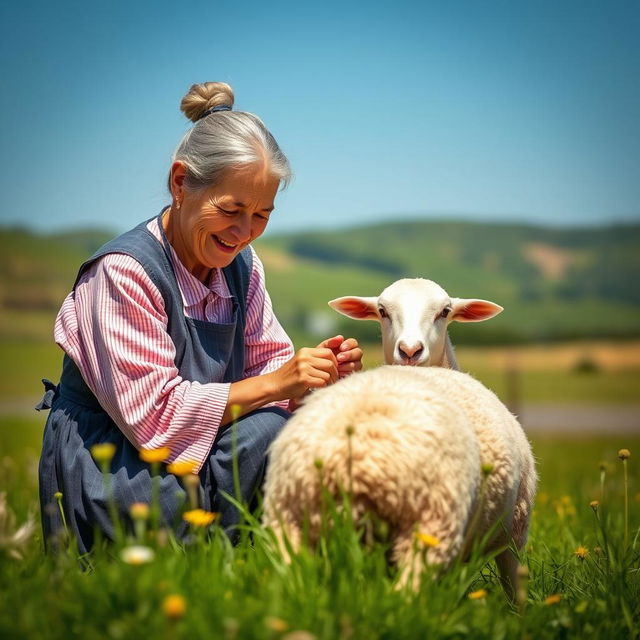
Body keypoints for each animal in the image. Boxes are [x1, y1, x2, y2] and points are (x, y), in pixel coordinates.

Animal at [260, 278, 536, 596]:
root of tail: (359, 460)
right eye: (382, 311)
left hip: (288, 522)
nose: (410, 351)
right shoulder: (514, 528)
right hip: (434, 526)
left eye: (444, 311)